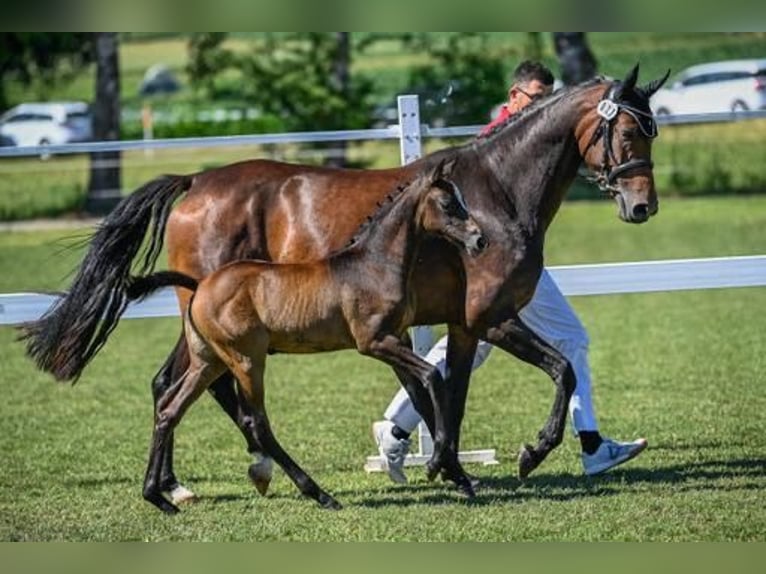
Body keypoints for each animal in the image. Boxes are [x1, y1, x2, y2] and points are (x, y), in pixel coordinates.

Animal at [125, 161, 487, 513]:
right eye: (448, 203)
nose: (479, 240)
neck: (372, 264)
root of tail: (200, 286)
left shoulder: (395, 337)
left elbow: (421, 387)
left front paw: (452, 471)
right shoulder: (375, 342)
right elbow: (433, 375)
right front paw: (436, 464)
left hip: (208, 361)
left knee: (170, 409)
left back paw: (158, 496)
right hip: (246, 360)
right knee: (255, 421)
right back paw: (319, 493)